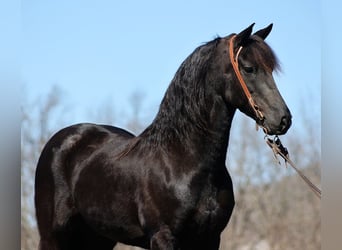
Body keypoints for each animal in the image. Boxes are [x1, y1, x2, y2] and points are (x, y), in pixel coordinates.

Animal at [34, 23, 292, 250]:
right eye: (249, 68)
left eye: (271, 69)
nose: (283, 119)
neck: (182, 160)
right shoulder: (163, 236)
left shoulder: (210, 238)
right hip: (53, 236)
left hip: (97, 238)